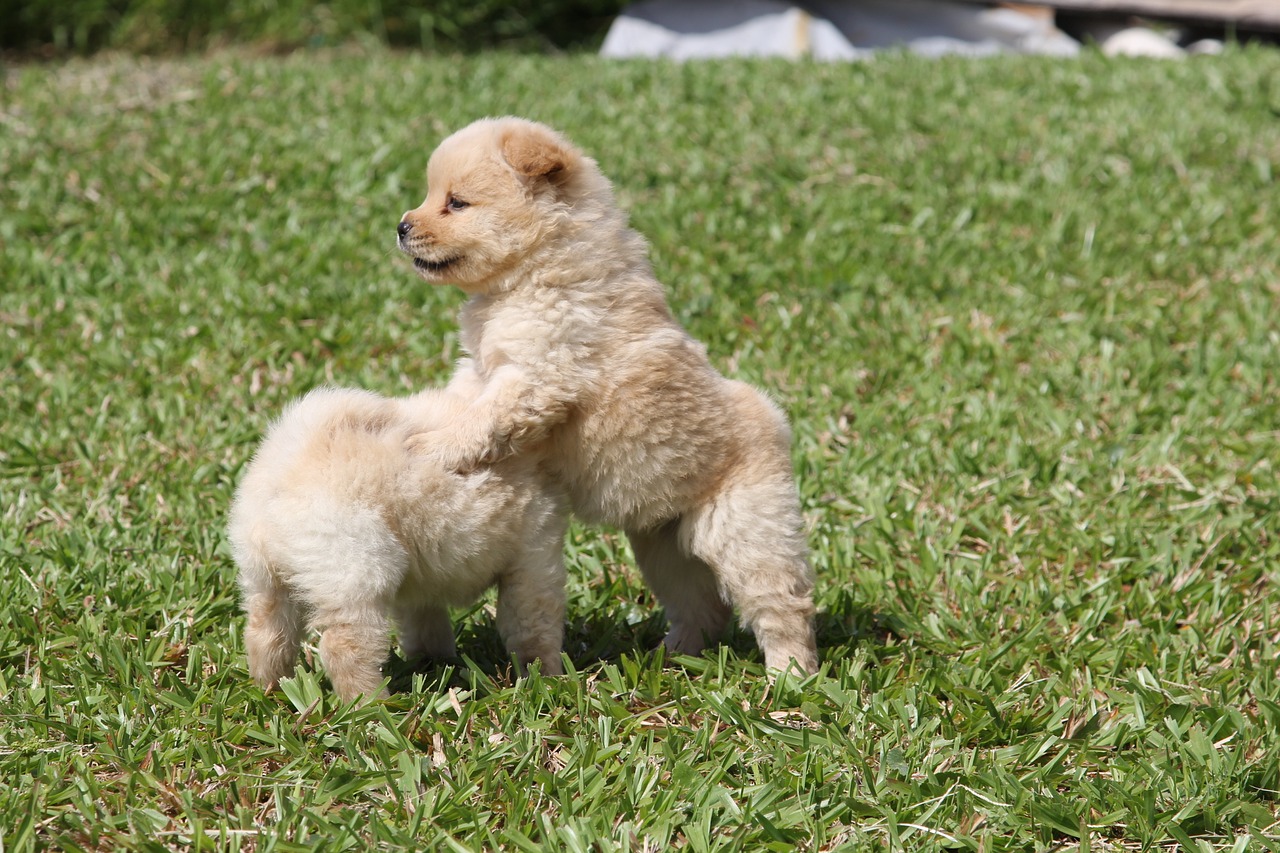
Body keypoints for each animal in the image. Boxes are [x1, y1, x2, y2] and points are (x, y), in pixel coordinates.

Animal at [229, 381, 565, 701]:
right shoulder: (535, 558)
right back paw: (372, 705)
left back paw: (272, 689)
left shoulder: (423, 581)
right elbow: (534, 629)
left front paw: (436, 662)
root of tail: (283, 470)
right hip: (355, 573)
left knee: (265, 633)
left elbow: (425, 623)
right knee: (344, 648)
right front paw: (547, 678)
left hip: (265, 577)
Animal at [396, 117, 819, 671]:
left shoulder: (537, 374)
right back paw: (672, 657)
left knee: (781, 603)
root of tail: (772, 416)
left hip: (744, 530)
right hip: (665, 548)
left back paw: (790, 675)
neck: (534, 269)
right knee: (702, 606)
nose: (401, 225)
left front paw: (430, 448)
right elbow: (465, 404)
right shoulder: (481, 369)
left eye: (456, 203)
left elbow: (482, 423)